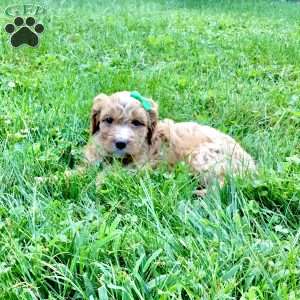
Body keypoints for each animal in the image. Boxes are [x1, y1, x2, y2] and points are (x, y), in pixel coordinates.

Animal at [84, 91, 255, 195]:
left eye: (137, 123)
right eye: (108, 120)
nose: (120, 143)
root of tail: (252, 166)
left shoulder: (141, 167)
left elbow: (113, 173)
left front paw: (98, 183)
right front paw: (77, 174)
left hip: (203, 157)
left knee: (224, 185)